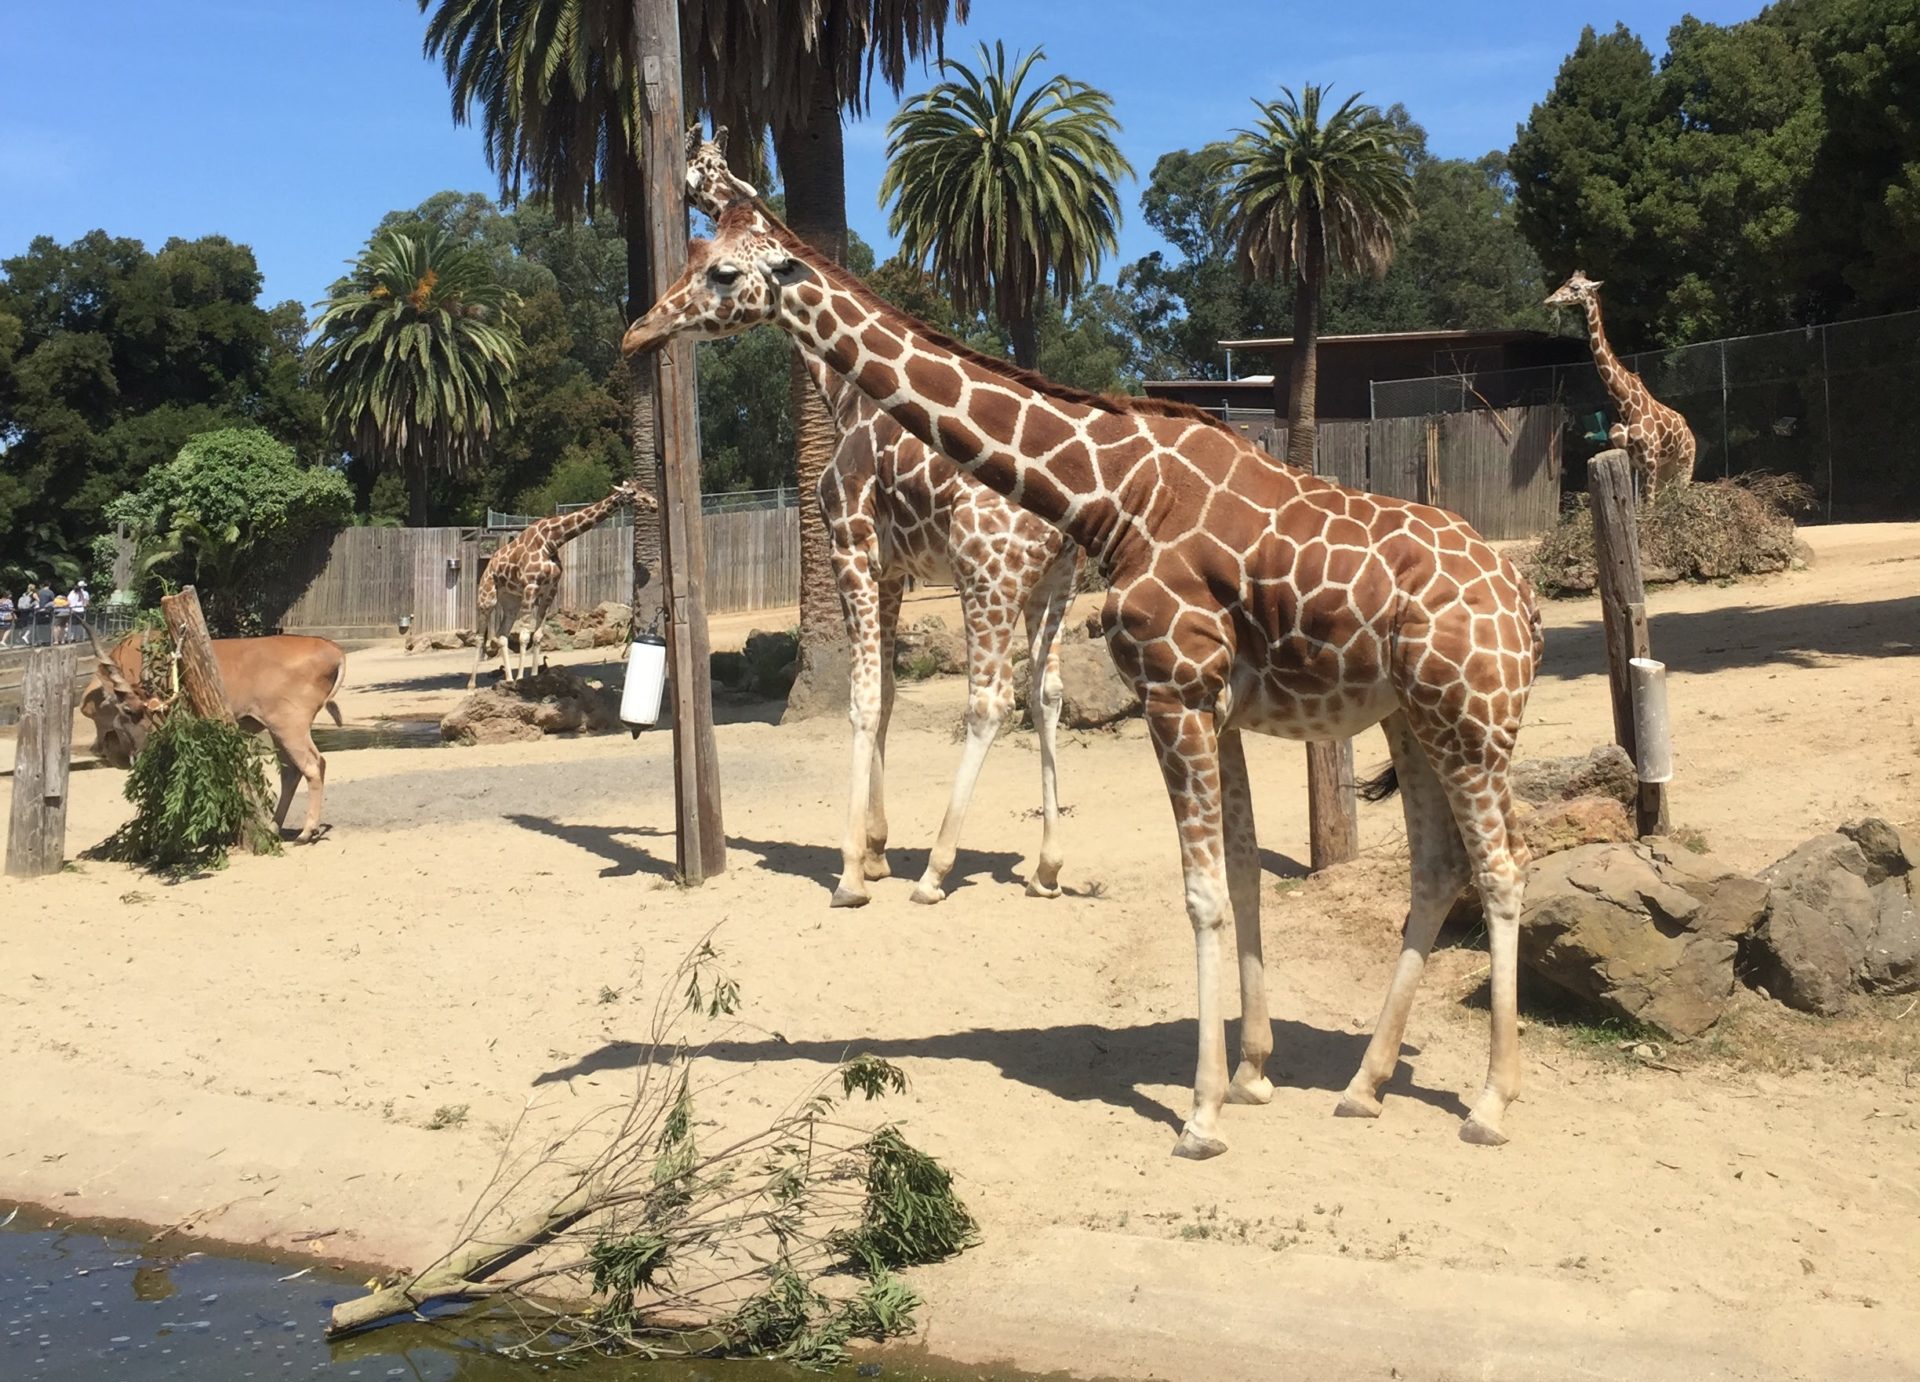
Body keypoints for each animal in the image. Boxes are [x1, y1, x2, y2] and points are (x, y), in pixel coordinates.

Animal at [468, 479, 656, 691]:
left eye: (644, 488)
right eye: (632, 493)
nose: (654, 503)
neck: (552, 541)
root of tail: (488, 566)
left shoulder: (550, 589)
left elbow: (538, 635)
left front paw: (534, 679)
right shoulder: (531, 586)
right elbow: (524, 636)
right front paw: (521, 680)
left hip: (511, 601)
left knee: (502, 635)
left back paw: (507, 680)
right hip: (487, 597)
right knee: (479, 636)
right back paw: (472, 684)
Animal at [622, 186, 1551, 1151]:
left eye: (721, 272)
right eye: (691, 252)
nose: (637, 333)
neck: (1118, 494)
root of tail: (1523, 599)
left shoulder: (1174, 692)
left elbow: (1201, 891)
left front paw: (1202, 1112)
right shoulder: (1212, 705)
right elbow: (1242, 872)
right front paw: (1253, 1072)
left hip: (1473, 722)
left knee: (1503, 866)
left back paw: (1489, 1101)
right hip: (1412, 718)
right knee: (1438, 868)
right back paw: (1365, 1084)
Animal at [1543, 268, 1697, 495]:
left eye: (1575, 287)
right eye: (1566, 282)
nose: (1549, 300)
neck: (1626, 407)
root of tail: (1689, 431)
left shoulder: (1649, 460)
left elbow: (1648, 502)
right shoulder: (1632, 460)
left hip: (1684, 463)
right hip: (1665, 470)